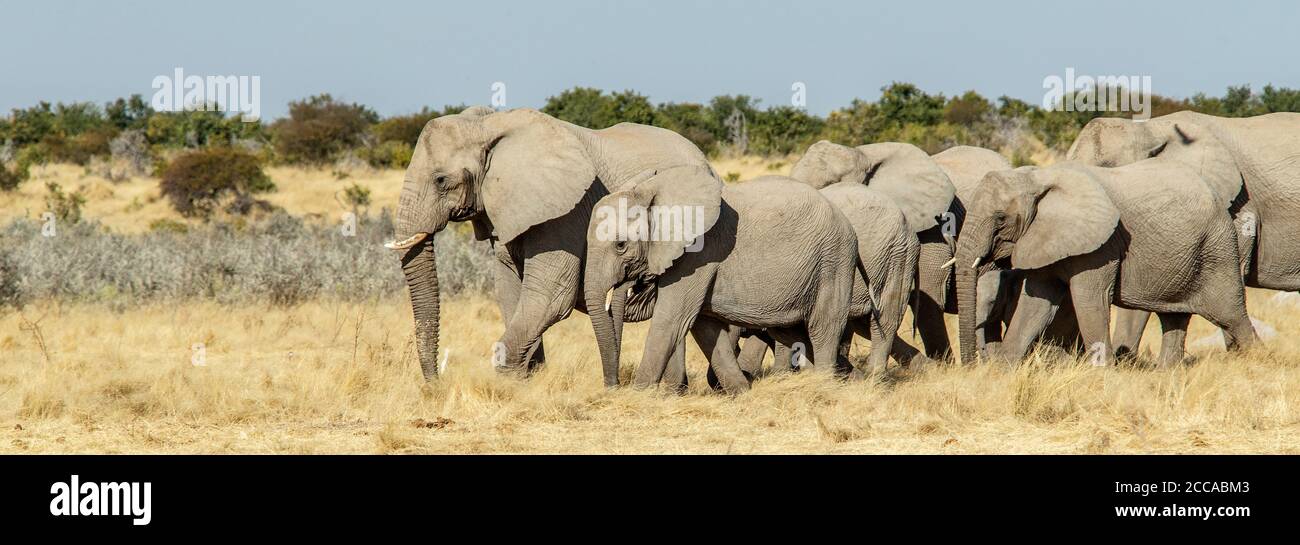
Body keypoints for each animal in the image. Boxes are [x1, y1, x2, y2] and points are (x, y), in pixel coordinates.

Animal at [384, 104, 722, 382]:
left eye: (441, 180)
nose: (435, 385)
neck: (489, 125)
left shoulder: (565, 212)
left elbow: (551, 294)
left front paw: (508, 382)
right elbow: (509, 290)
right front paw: (529, 377)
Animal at [585, 166, 857, 392]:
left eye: (620, 245)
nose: (613, 388)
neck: (651, 191)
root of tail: (845, 222)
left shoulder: (697, 255)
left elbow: (672, 321)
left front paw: (639, 396)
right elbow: (705, 328)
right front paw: (743, 392)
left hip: (833, 261)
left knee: (823, 329)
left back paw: (824, 386)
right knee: (795, 334)